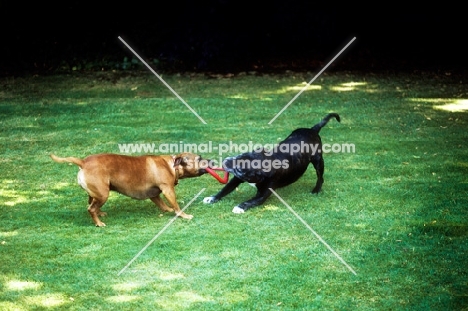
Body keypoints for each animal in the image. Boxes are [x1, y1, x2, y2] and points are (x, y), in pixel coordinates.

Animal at [50, 153, 207, 227]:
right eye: (199, 158)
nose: (210, 161)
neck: (172, 165)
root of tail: (83, 162)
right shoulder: (168, 190)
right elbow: (176, 205)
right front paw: (183, 215)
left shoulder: (154, 193)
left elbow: (161, 203)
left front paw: (167, 209)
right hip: (103, 194)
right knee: (91, 208)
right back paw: (98, 223)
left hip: (97, 194)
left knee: (92, 204)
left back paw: (100, 213)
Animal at [202, 113, 340, 213]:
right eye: (239, 155)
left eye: (240, 169)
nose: (225, 160)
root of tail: (313, 130)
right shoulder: (236, 180)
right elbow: (224, 189)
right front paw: (212, 198)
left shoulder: (263, 194)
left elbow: (250, 201)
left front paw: (239, 207)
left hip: (318, 161)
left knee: (320, 177)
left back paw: (316, 190)